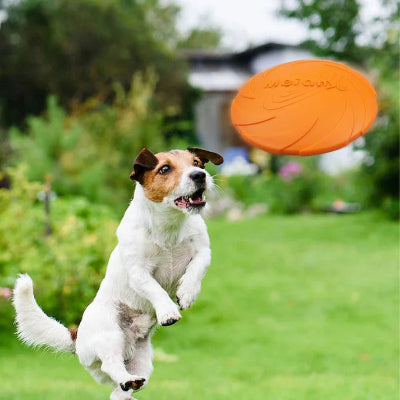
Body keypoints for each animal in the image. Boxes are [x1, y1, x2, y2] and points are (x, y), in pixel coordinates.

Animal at [13, 147, 222, 400]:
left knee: (119, 390)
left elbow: (196, 269)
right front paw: (168, 311)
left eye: (197, 162)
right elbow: (155, 289)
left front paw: (187, 293)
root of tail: (77, 337)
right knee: (110, 364)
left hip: (143, 362)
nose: (200, 175)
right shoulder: (138, 271)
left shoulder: (203, 251)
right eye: (165, 169)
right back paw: (125, 377)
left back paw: (129, 386)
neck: (169, 226)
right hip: (110, 335)